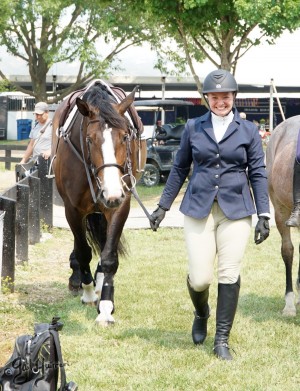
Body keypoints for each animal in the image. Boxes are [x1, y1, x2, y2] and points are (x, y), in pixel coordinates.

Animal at [51, 79, 146, 324]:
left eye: (125, 136)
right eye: (89, 139)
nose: (111, 192)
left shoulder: (120, 204)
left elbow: (109, 256)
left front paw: (105, 306)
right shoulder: (72, 209)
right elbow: (83, 251)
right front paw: (88, 293)